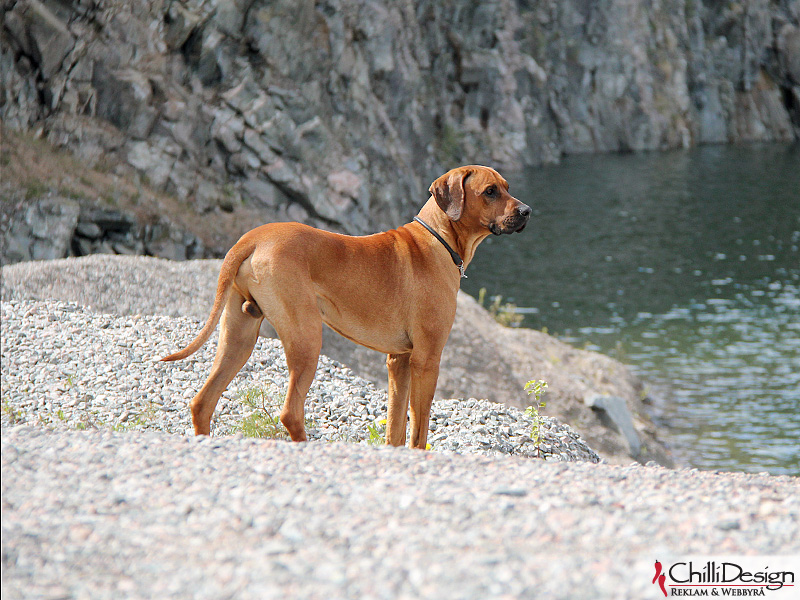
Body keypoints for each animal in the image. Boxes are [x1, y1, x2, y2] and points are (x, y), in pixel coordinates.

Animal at [161, 166, 532, 448]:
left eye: (507, 188)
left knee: (202, 402)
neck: (437, 239)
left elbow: (396, 427)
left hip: (237, 337)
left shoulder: (399, 360)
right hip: (307, 337)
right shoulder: (427, 359)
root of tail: (251, 238)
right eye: (490, 192)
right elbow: (419, 428)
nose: (527, 211)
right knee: (290, 412)